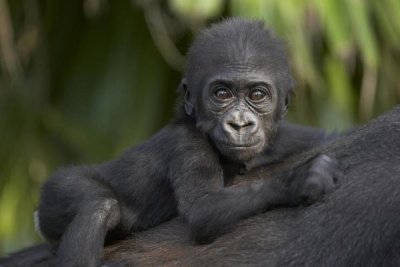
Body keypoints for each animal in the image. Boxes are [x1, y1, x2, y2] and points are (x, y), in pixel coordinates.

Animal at [36, 18, 338, 267]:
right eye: (222, 94)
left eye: (257, 95)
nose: (240, 123)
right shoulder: (188, 145)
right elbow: (202, 209)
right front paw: (299, 179)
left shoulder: (283, 138)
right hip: (55, 192)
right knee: (98, 204)